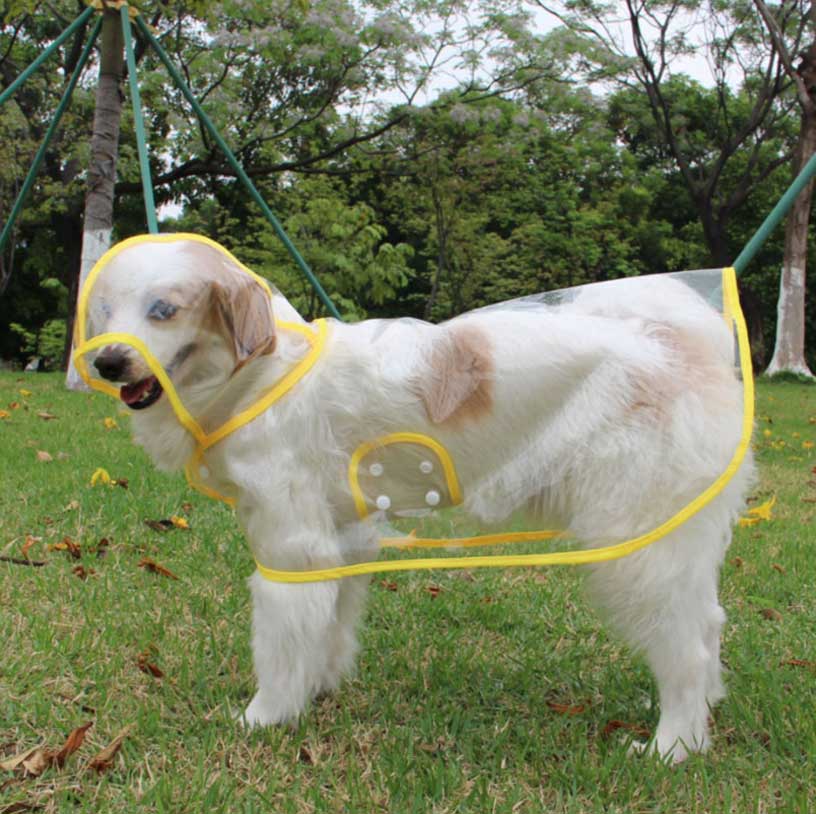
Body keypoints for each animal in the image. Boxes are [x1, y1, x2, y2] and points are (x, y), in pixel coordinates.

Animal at [81, 234, 752, 764]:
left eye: (164, 310)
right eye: (106, 311)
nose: (108, 362)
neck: (266, 376)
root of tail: (677, 338)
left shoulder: (292, 550)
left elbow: (281, 645)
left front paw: (264, 718)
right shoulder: (343, 541)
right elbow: (329, 630)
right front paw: (318, 692)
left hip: (638, 546)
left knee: (688, 648)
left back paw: (674, 746)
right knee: (708, 624)